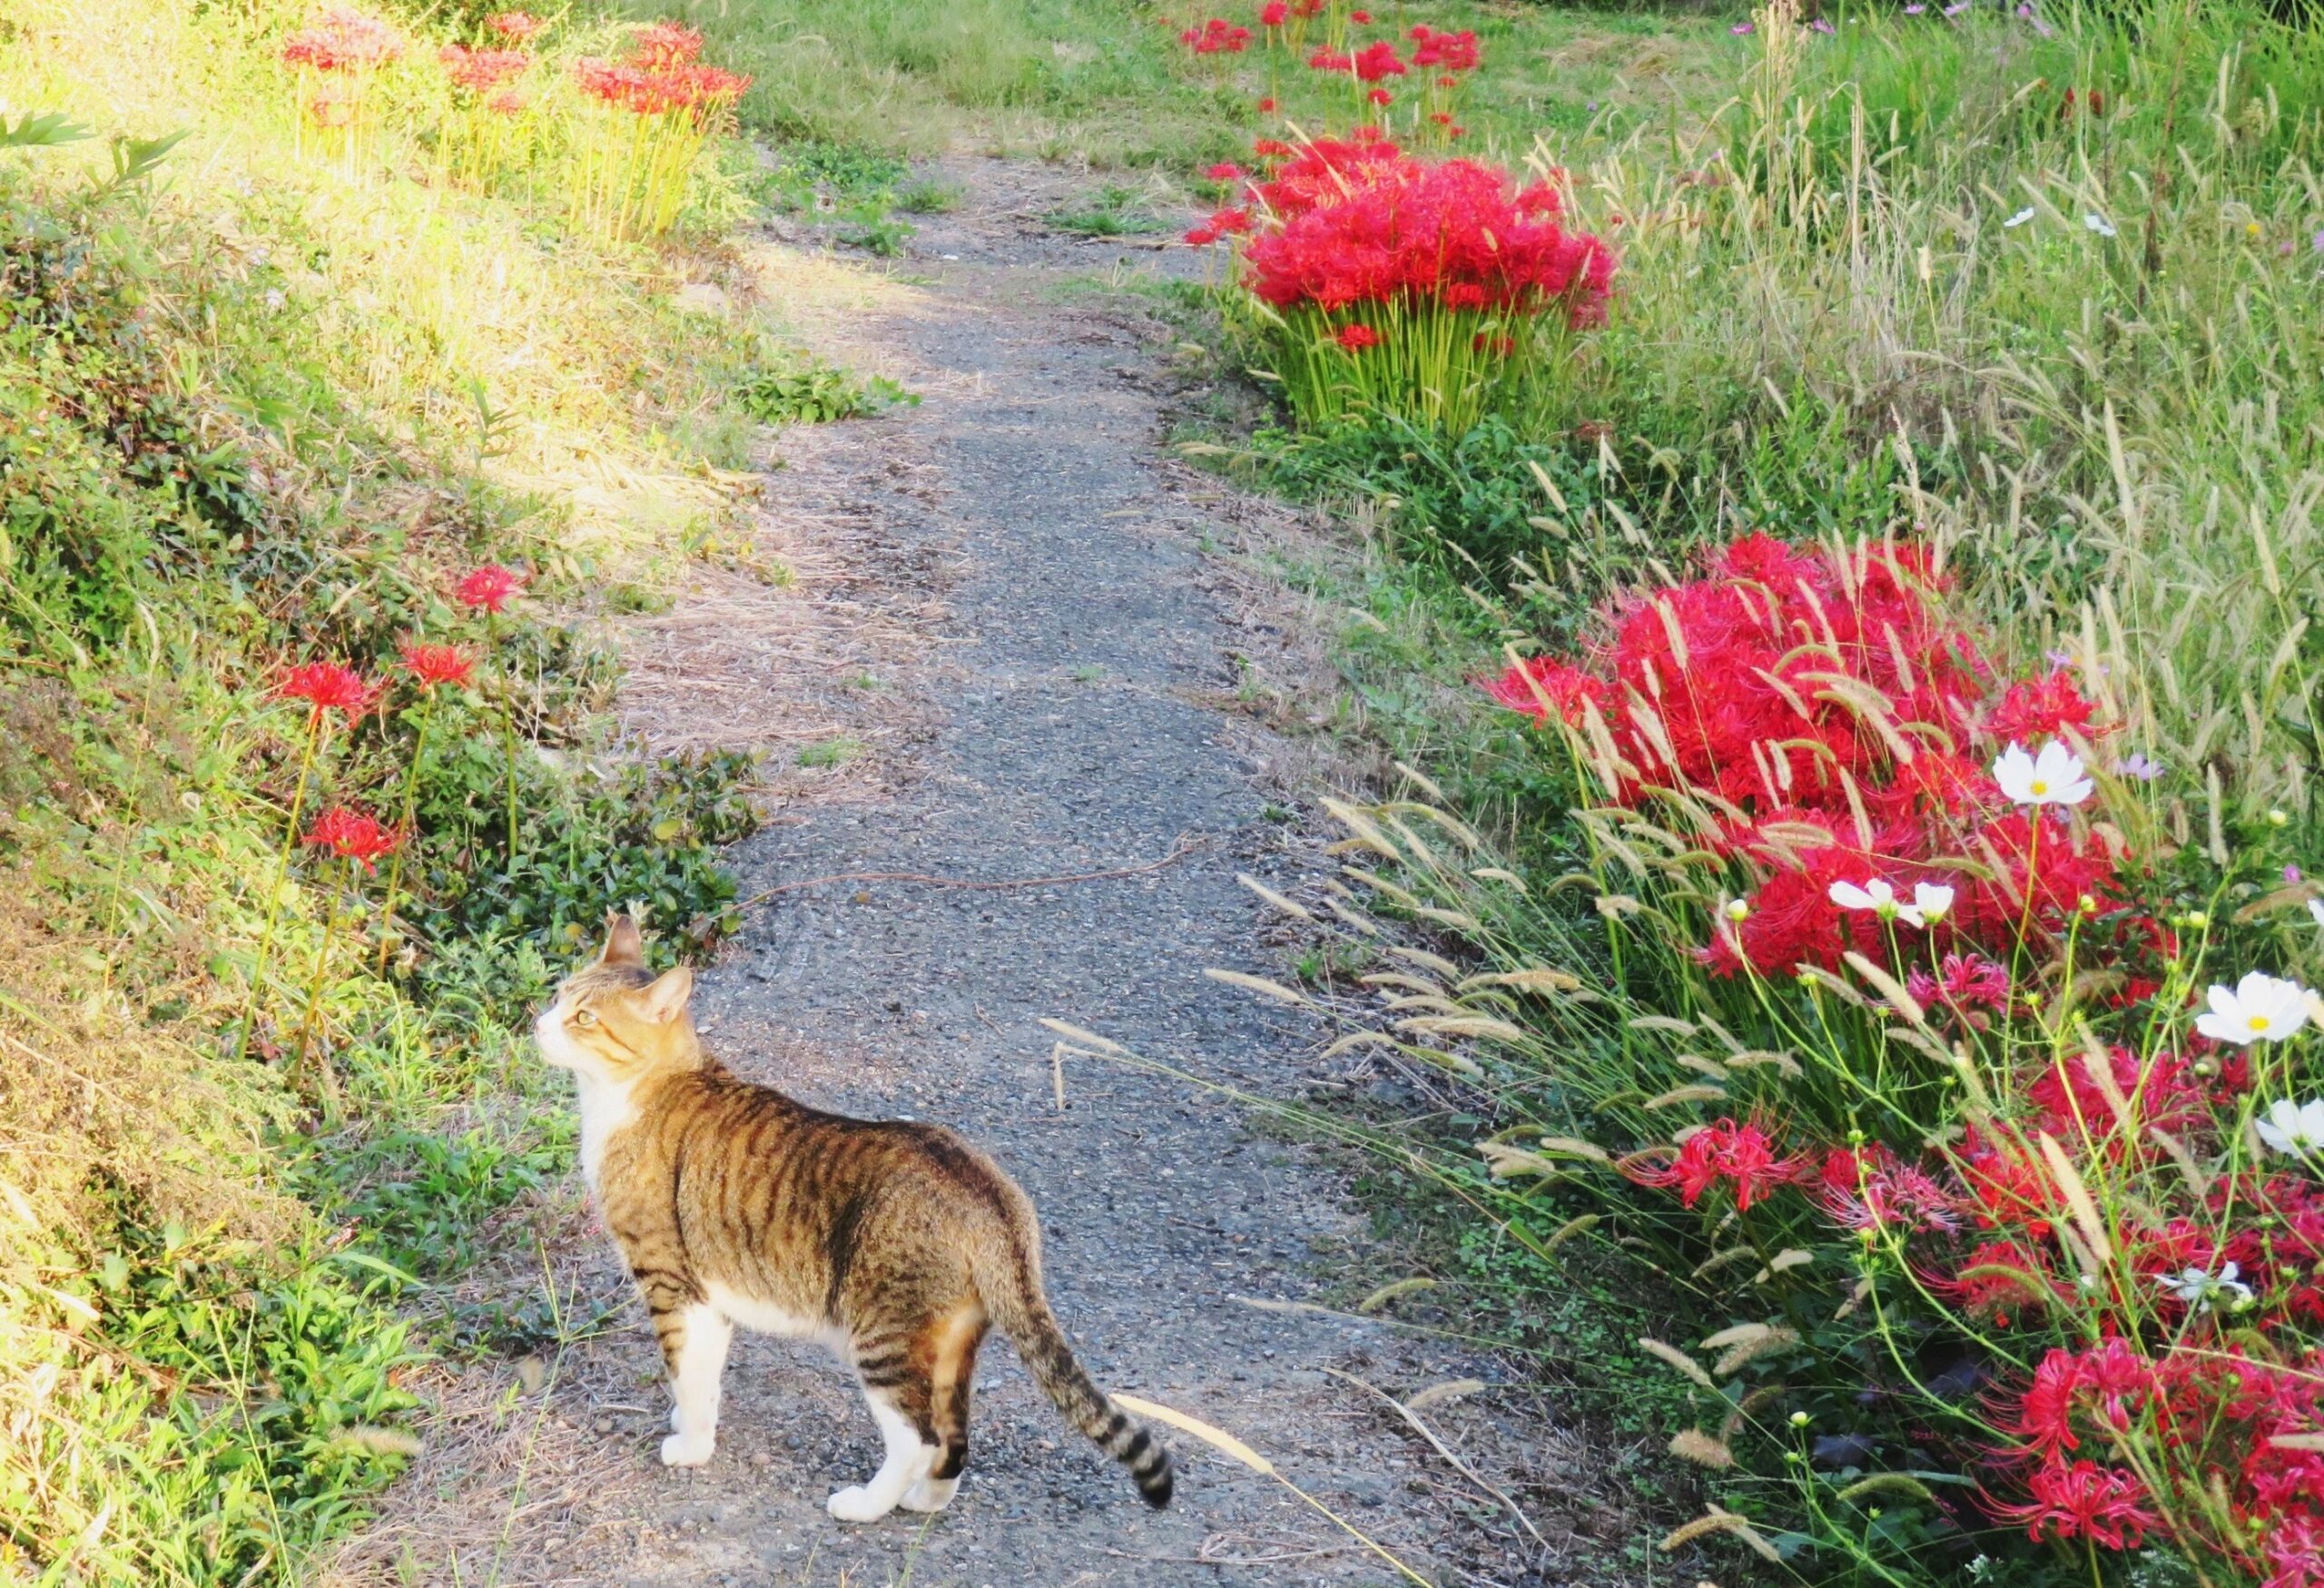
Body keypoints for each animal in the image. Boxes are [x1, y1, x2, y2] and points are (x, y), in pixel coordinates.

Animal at [534, 921, 1171, 1524]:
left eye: (584, 1018)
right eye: (558, 994)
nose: (539, 1026)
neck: (637, 1092)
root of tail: (991, 1194)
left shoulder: (670, 1281)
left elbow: (686, 1374)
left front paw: (689, 1448)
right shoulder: (707, 1300)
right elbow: (703, 1377)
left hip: (880, 1335)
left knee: (919, 1439)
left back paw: (865, 1504)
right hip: (950, 1342)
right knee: (956, 1439)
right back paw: (924, 1500)